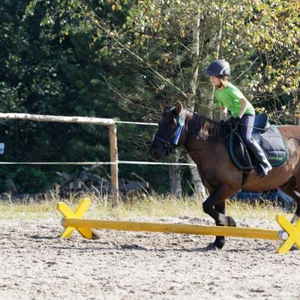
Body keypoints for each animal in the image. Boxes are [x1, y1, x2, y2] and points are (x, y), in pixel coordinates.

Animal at [151, 102, 300, 250]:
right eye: (159, 123)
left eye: (171, 125)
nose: (154, 152)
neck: (212, 147)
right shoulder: (215, 188)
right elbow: (215, 211)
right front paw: (219, 242)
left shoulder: (229, 187)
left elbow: (207, 206)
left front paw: (230, 221)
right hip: (287, 184)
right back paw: (289, 237)